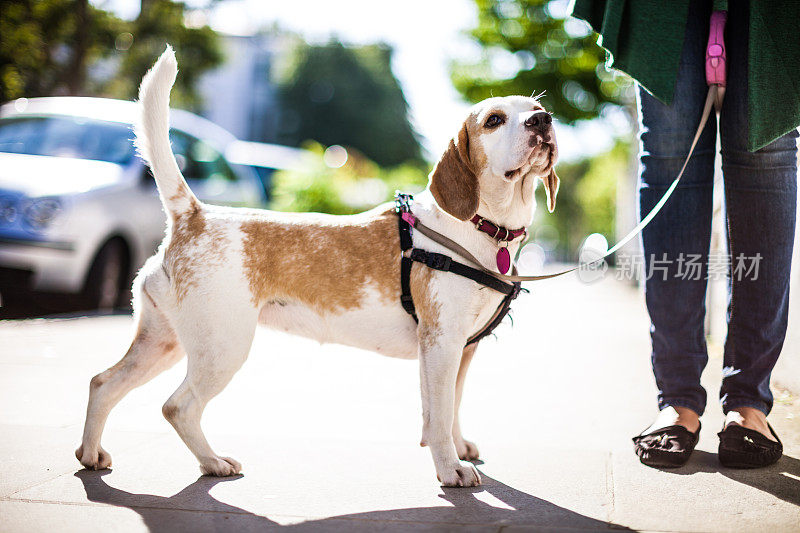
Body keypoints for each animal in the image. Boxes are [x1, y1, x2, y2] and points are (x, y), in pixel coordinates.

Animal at [78, 47, 560, 484]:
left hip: (164, 341)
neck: (484, 229)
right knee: (177, 406)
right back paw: (212, 462)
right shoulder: (441, 344)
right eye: (494, 120)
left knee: (103, 382)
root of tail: (194, 214)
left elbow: (449, 408)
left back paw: (91, 453)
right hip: (222, 347)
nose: (543, 122)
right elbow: (439, 415)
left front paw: (458, 449)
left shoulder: (461, 349)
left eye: (537, 110)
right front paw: (450, 468)